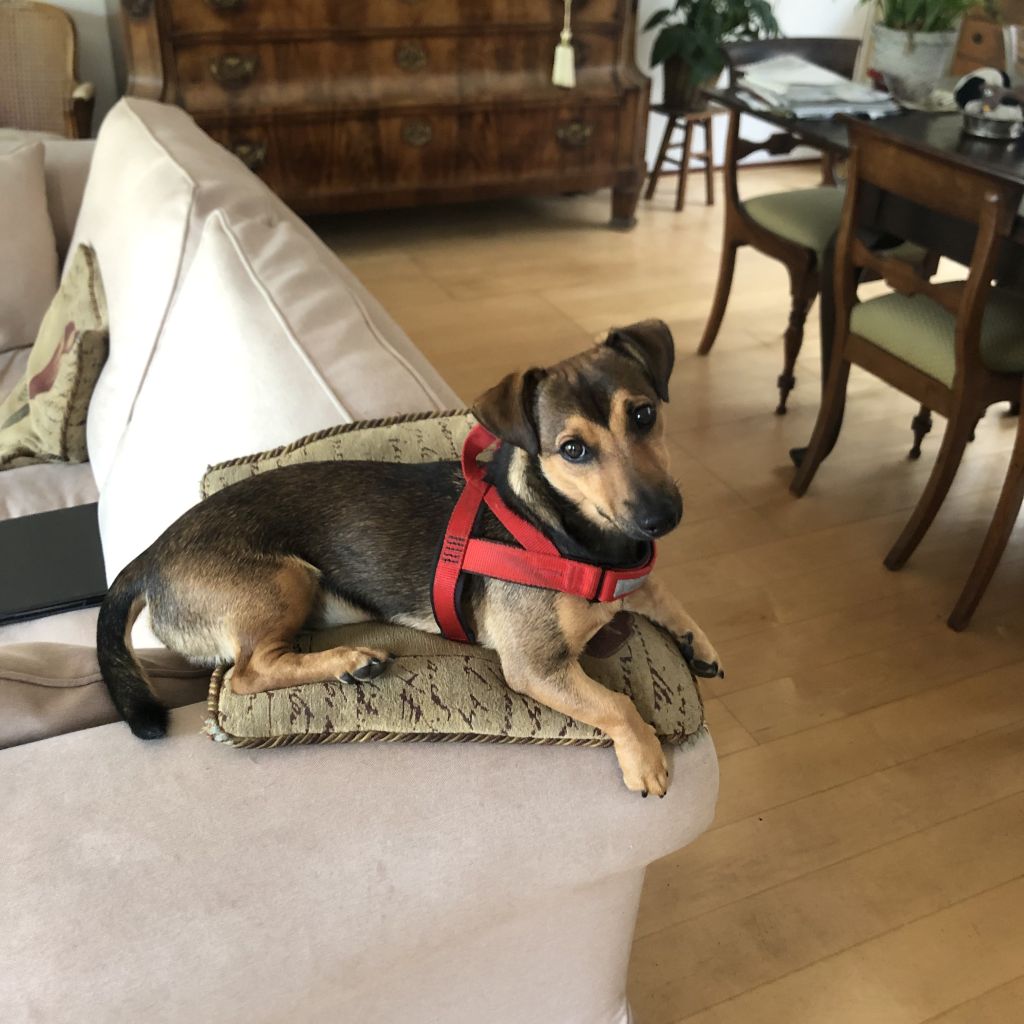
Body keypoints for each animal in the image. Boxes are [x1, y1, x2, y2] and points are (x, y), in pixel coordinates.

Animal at [97, 319, 721, 796]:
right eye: (572, 449)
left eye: (643, 415)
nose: (661, 518)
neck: (580, 540)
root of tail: (150, 555)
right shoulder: (537, 667)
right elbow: (617, 703)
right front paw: (645, 758)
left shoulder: (633, 577)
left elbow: (660, 590)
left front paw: (699, 643)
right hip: (285, 578)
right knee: (248, 672)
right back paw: (350, 660)